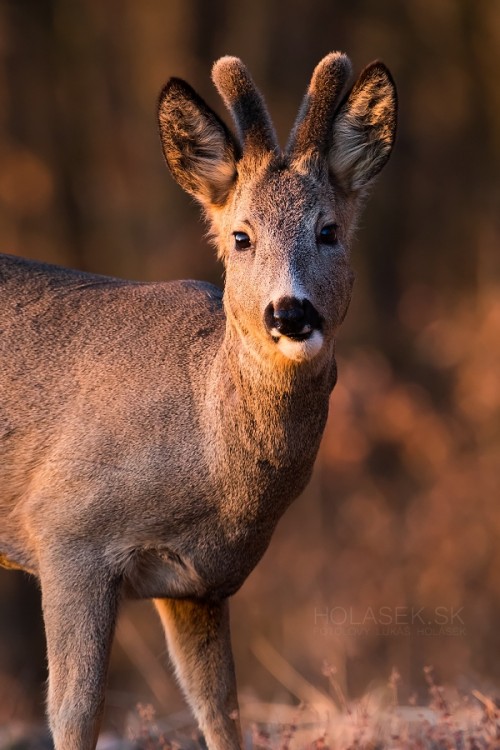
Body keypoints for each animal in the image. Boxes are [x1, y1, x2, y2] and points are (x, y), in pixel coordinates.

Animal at [0, 50, 398, 748]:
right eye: (241, 236)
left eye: (328, 231)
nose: (290, 313)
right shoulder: (65, 531)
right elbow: (75, 711)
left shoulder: (200, 585)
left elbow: (221, 712)